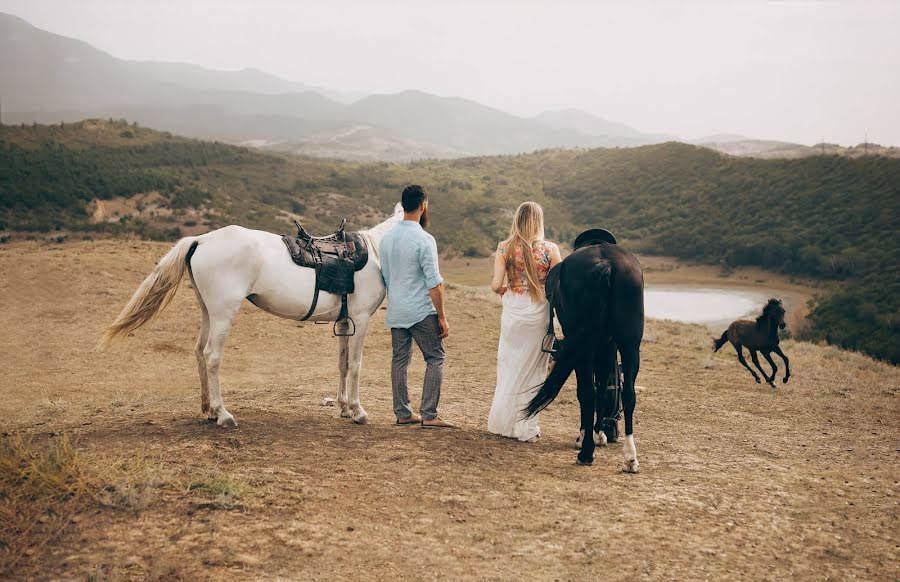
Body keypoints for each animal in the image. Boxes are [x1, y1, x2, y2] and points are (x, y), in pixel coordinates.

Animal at [96, 203, 402, 426]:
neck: (374, 254)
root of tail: (201, 240)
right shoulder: (360, 319)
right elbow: (356, 365)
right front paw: (358, 410)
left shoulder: (344, 322)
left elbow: (342, 364)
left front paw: (343, 408)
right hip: (223, 313)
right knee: (211, 356)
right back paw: (222, 414)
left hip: (208, 311)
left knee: (198, 351)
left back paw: (208, 409)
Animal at [524, 233, 644, 470]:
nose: (613, 432)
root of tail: (606, 264)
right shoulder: (607, 345)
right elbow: (602, 387)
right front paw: (598, 434)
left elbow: (592, 390)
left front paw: (590, 436)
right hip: (629, 345)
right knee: (629, 394)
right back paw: (630, 457)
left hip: (587, 347)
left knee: (587, 392)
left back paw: (586, 452)